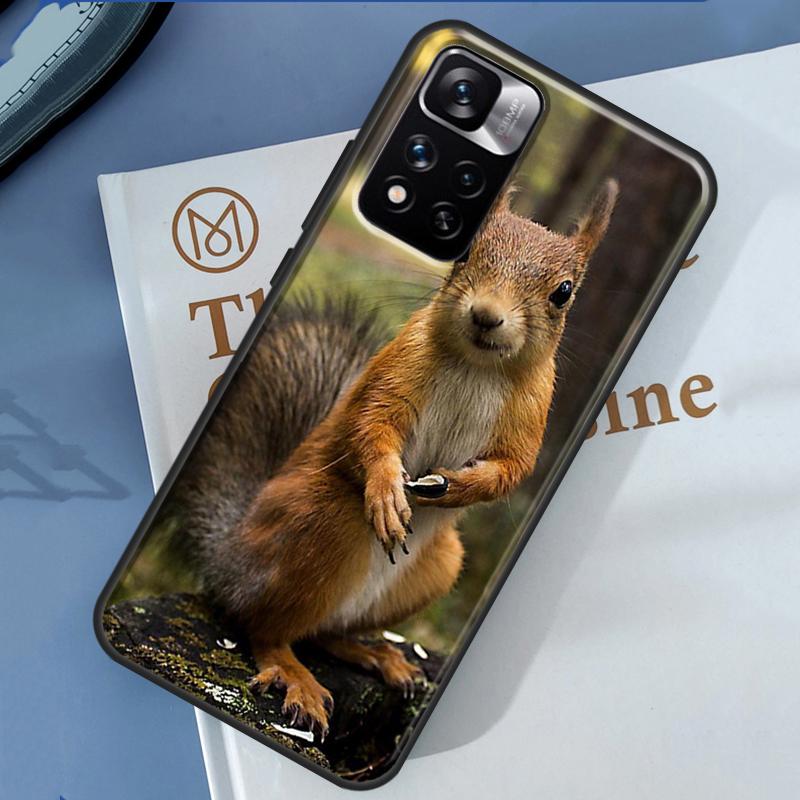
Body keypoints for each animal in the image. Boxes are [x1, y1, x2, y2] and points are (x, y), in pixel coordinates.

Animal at [173, 179, 618, 738]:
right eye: (464, 252)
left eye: (563, 292)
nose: (486, 315)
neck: (478, 367)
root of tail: (226, 555)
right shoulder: (396, 368)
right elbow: (371, 426)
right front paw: (387, 491)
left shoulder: (531, 416)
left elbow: (510, 471)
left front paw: (456, 487)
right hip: (318, 519)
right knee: (263, 627)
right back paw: (292, 672)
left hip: (439, 567)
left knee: (320, 630)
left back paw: (375, 654)